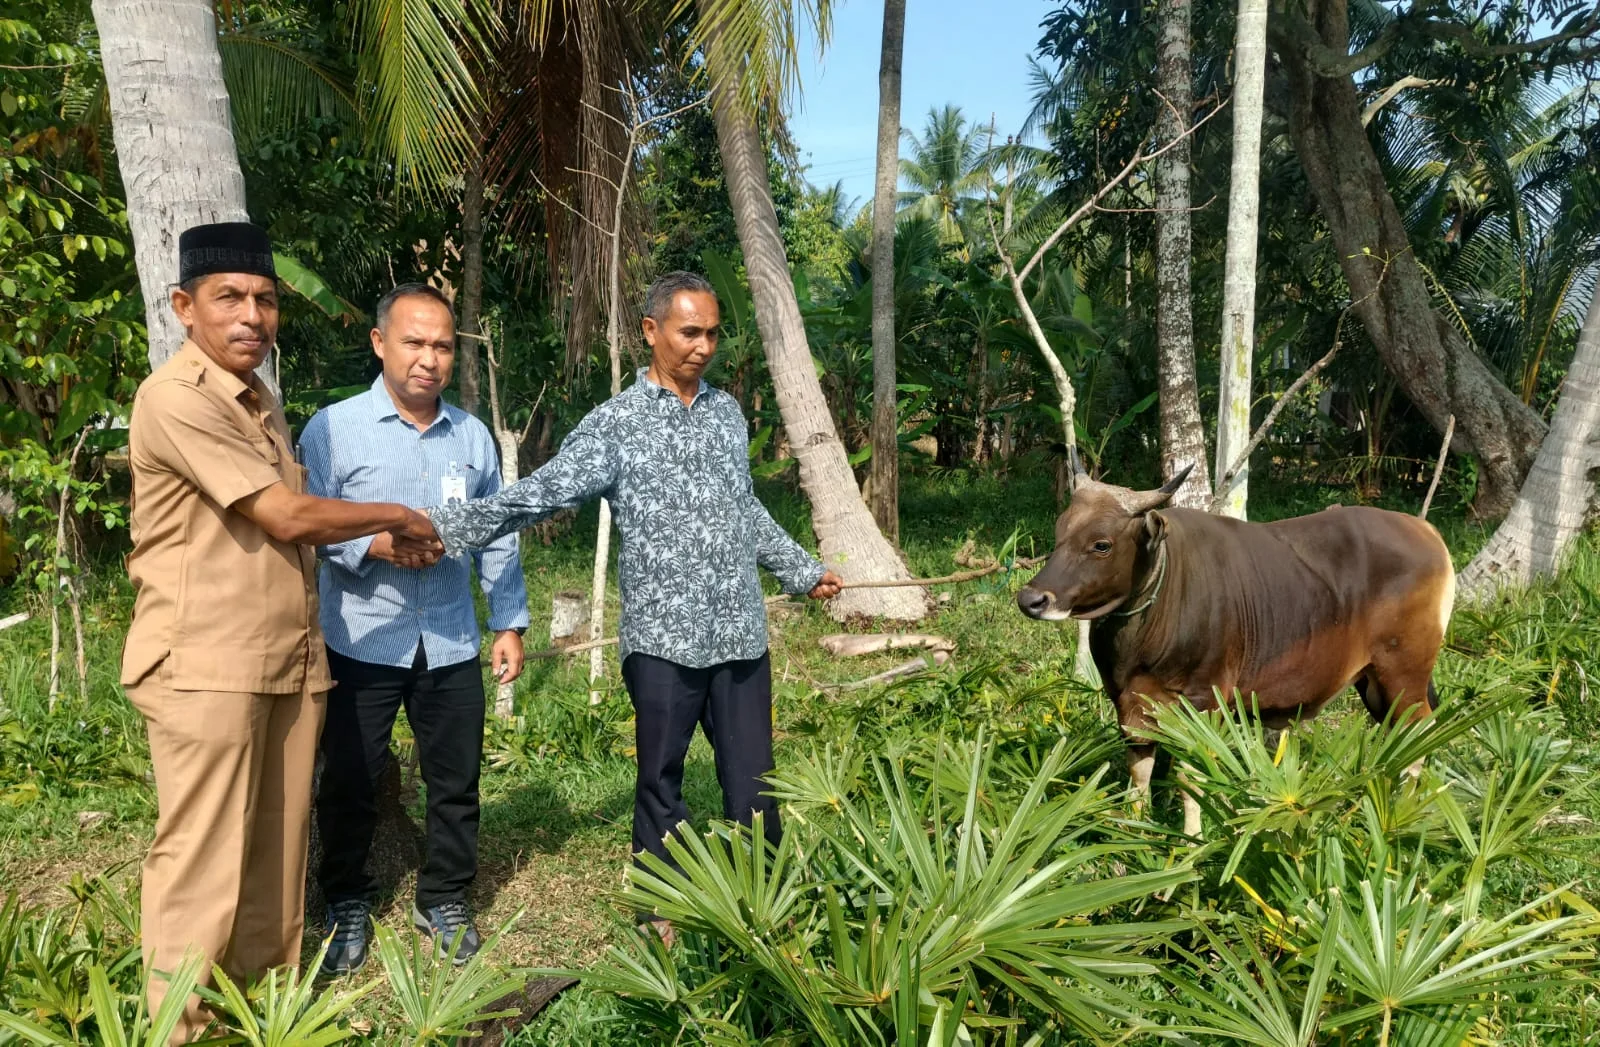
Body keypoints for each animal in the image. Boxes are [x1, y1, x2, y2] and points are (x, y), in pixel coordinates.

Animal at [1017, 464, 1459, 838]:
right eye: (1060, 531)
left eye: (1101, 544)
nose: (1032, 599)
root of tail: (1427, 531)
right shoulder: (1126, 702)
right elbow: (1139, 772)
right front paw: (1134, 833)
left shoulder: (1204, 704)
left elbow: (1192, 775)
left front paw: (1192, 842)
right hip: (1373, 683)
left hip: (1404, 673)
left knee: (1418, 732)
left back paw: (1399, 816)